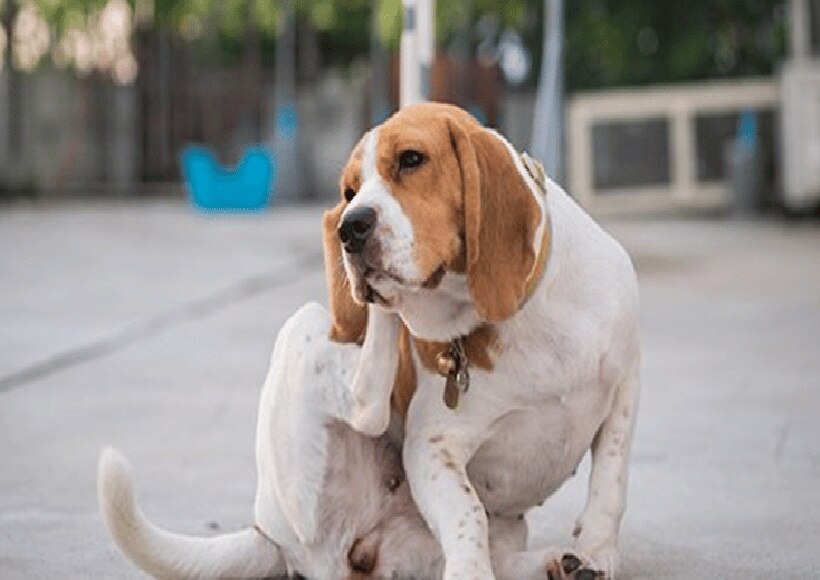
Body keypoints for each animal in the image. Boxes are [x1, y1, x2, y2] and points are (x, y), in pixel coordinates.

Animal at [326, 102, 640, 576]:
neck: (521, 315)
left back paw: (561, 564)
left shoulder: (625, 385)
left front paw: (598, 550)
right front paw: (470, 570)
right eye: (348, 191)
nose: (349, 227)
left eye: (411, 159)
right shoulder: (433, 446)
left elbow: (611, 479)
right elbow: (468, 513)